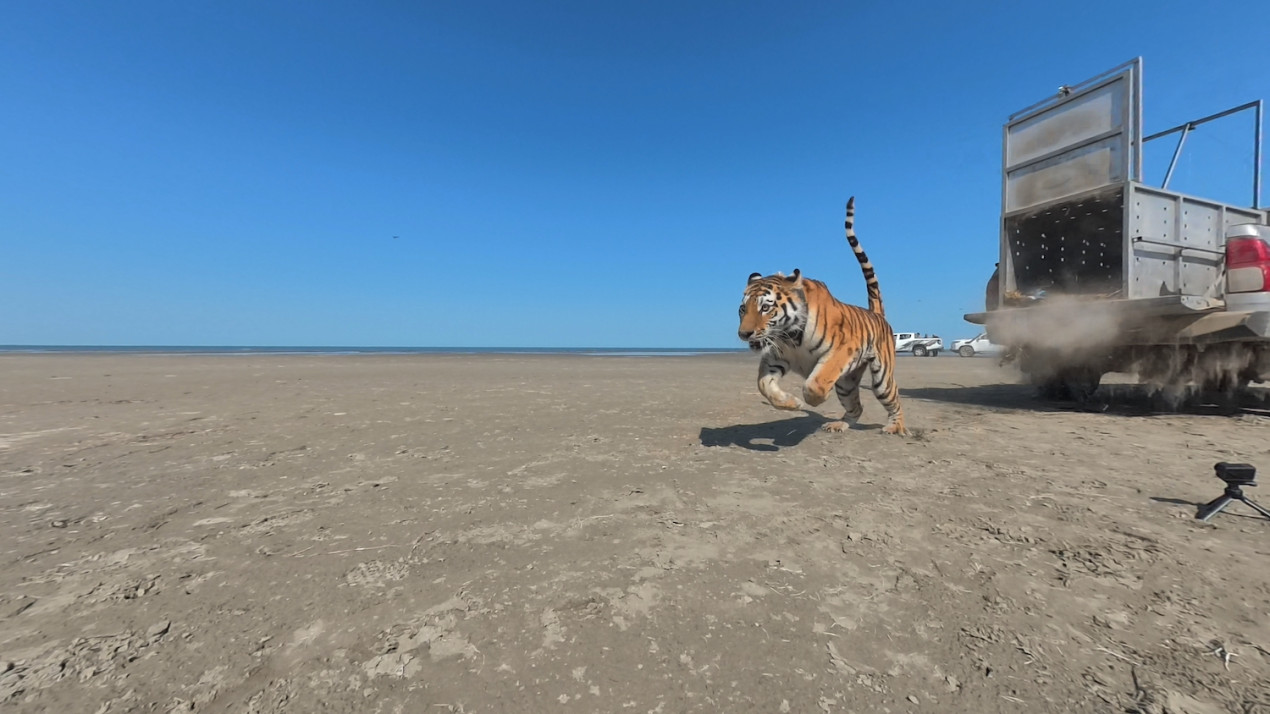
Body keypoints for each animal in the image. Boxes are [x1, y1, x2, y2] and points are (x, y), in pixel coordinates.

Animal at [736, 196, 907, 435]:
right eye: (743, 309)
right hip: (846, 384)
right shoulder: (775, 357)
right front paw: (793, 403)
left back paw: (894, 426)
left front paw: (813, 400)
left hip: (881, 379)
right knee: (856, 407)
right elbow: (763, 386)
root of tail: (875, 313)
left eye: (765, 308)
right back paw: (839, 425)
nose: (744, 334)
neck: (790, 335)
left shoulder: (841, 351)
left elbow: (814, 383)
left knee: (895, 399)